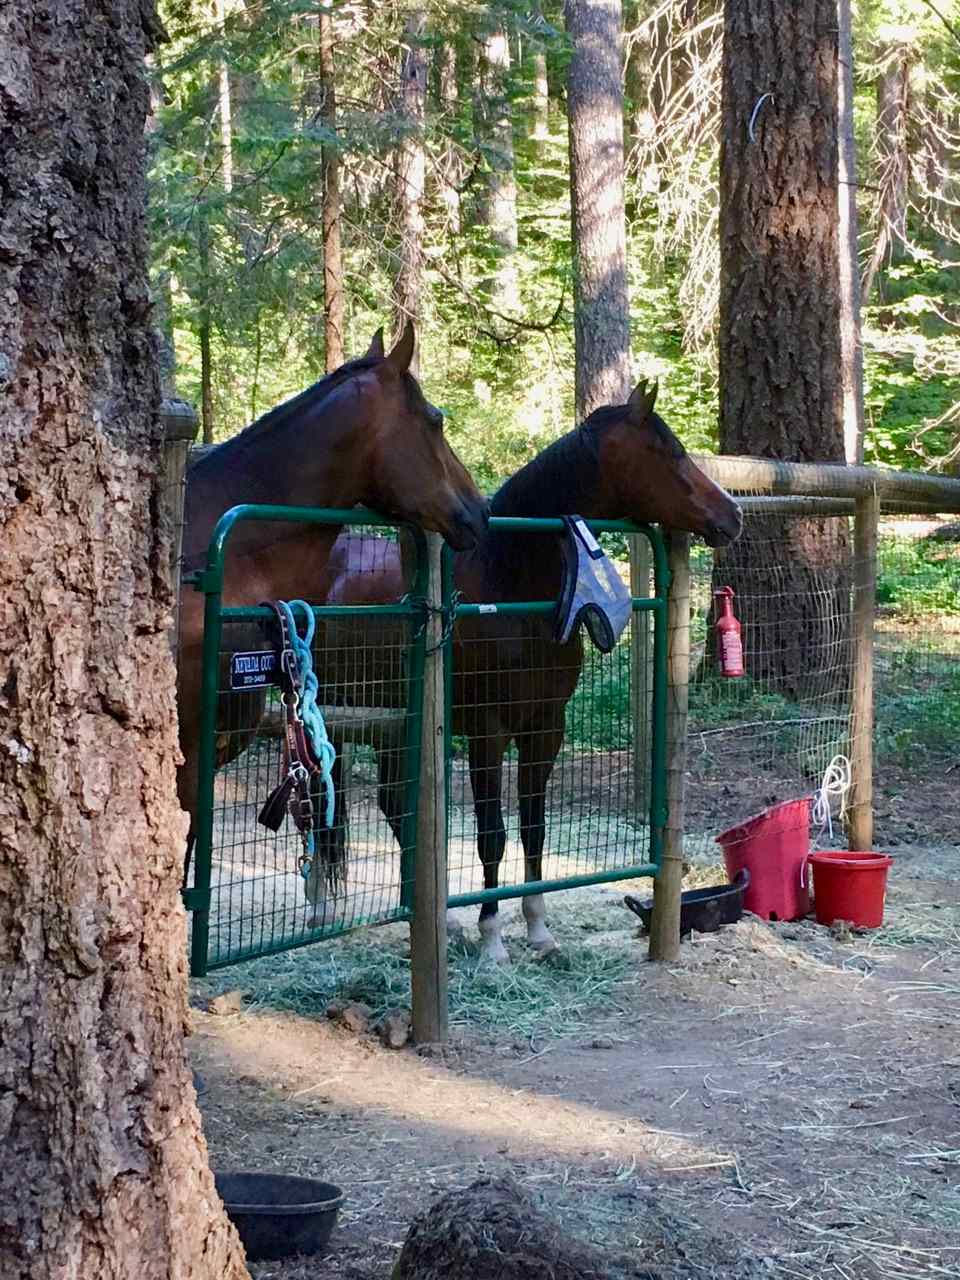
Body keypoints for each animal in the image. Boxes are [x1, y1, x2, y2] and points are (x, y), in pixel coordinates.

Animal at [316, 384, 742, 962]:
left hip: (391, 725)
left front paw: (539, 930)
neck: (511, 583)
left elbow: (534, 828)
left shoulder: (545, 727)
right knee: (323, 806)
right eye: (669, 451)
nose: (733, 513)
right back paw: (320, 909)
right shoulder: (487, 730)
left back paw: (435, 923)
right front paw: (493, 939)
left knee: (395, 807)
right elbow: (492, 834)